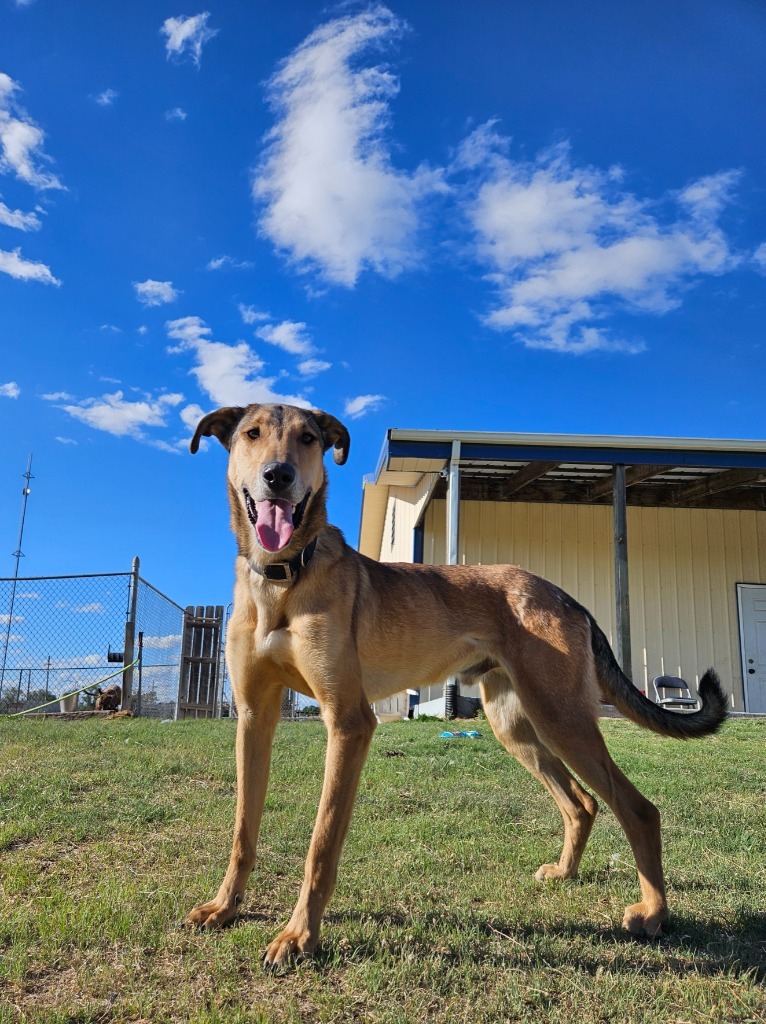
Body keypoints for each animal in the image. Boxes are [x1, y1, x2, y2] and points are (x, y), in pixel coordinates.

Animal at [185, 401, 729, 966]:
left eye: (308, 438)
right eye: (252, 433)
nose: (279, 476)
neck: (284, 576)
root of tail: (564, 595)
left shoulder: (350, 722)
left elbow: (321, 842)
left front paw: (299, 936)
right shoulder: (254, 719)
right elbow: (242, 831)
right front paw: (224, 907)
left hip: (562, 719)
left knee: (638, 809)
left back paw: (654, 914)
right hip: (517, 726)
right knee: (582, 803)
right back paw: (565, 873)